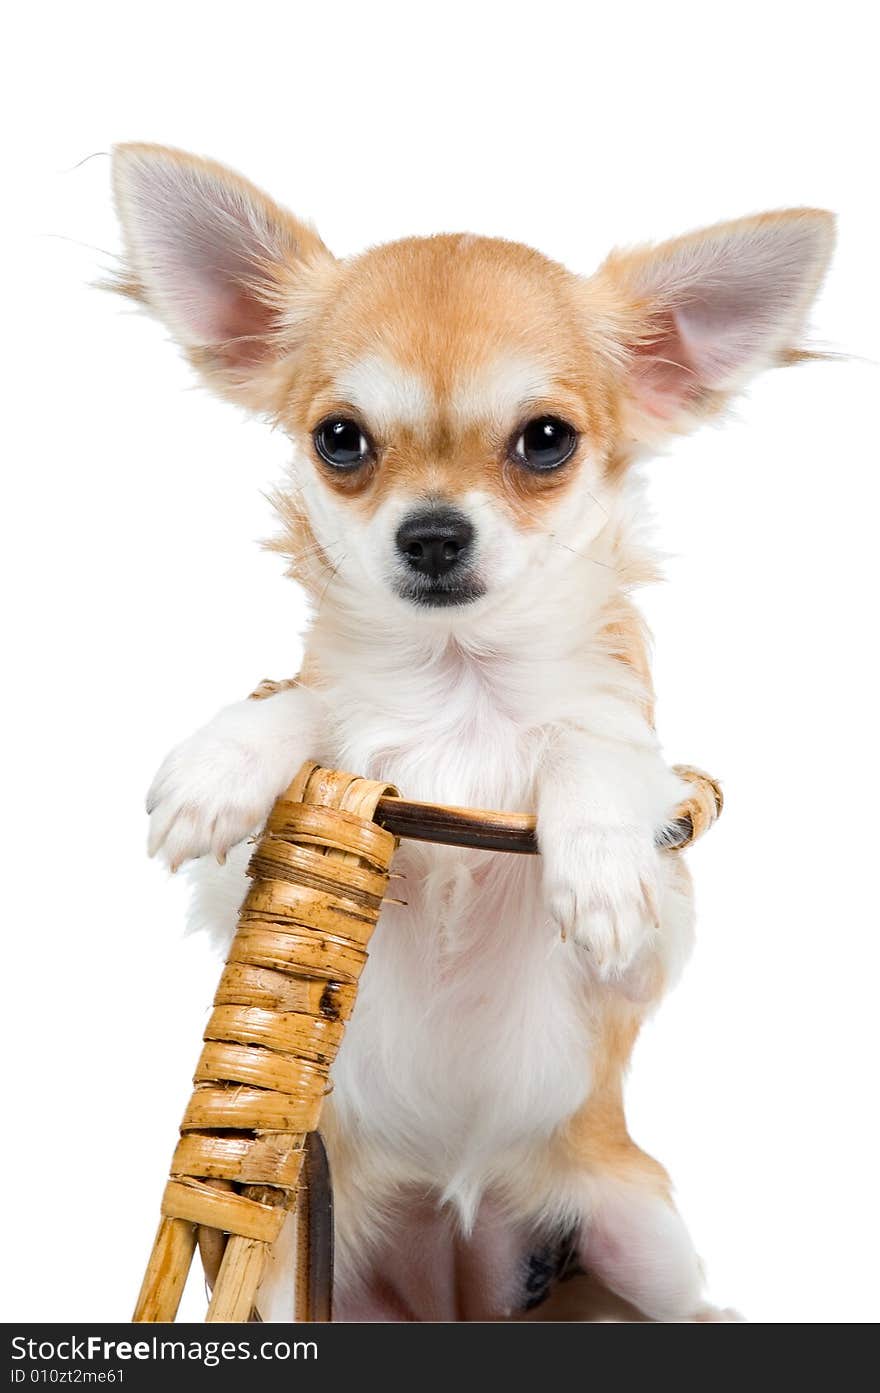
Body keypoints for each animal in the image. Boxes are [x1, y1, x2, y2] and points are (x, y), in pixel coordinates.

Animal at [113, 146, 835, 1320]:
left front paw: (598, 863)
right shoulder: (247, 900)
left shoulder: (653, 944)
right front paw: (223, 760)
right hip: (293, 1261)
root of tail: (462, 1295)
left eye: (546, 441)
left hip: (636, 1224)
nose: (434, 533)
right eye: (341, 440)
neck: (461, 691)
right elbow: (312, 702)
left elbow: (593, 749)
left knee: (690, 1305)